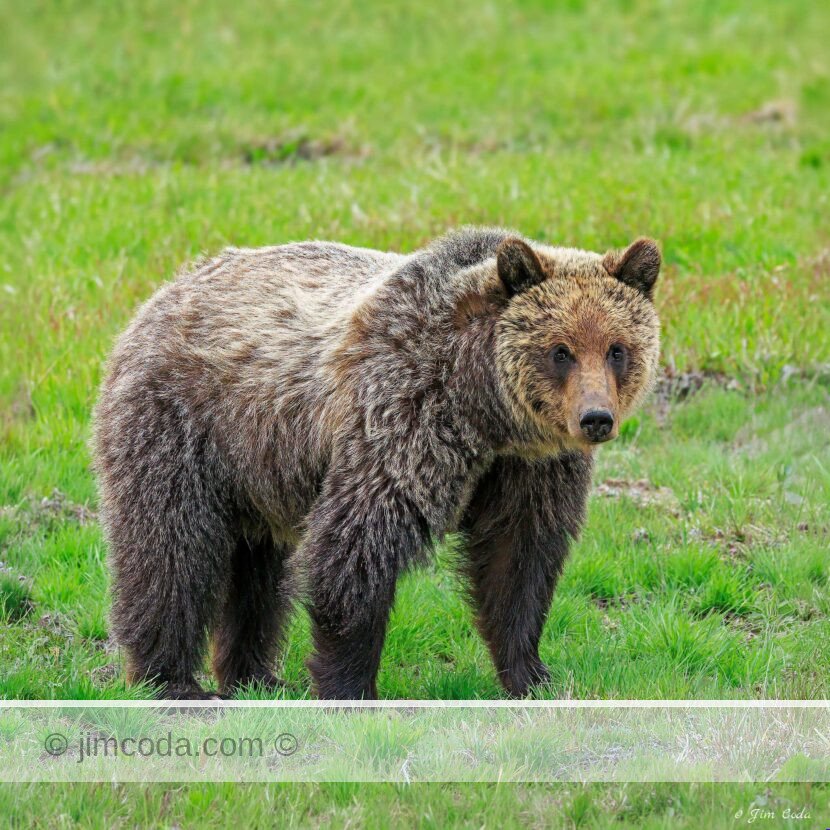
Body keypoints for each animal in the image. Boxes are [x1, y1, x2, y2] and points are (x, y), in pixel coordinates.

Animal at [93, 227, 661, 700]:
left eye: (617, 348)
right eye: (560, 350)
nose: (595, 418)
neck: (486, 413)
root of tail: (162, 293)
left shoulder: (530, 467)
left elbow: (518, 558)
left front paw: (532, 675)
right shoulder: (403, 415)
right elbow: (358, 545)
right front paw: (349, 685)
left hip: (260, 465)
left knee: (256, 570)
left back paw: (256, 677)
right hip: (181, 425)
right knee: (170, 548)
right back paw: (170, 679)